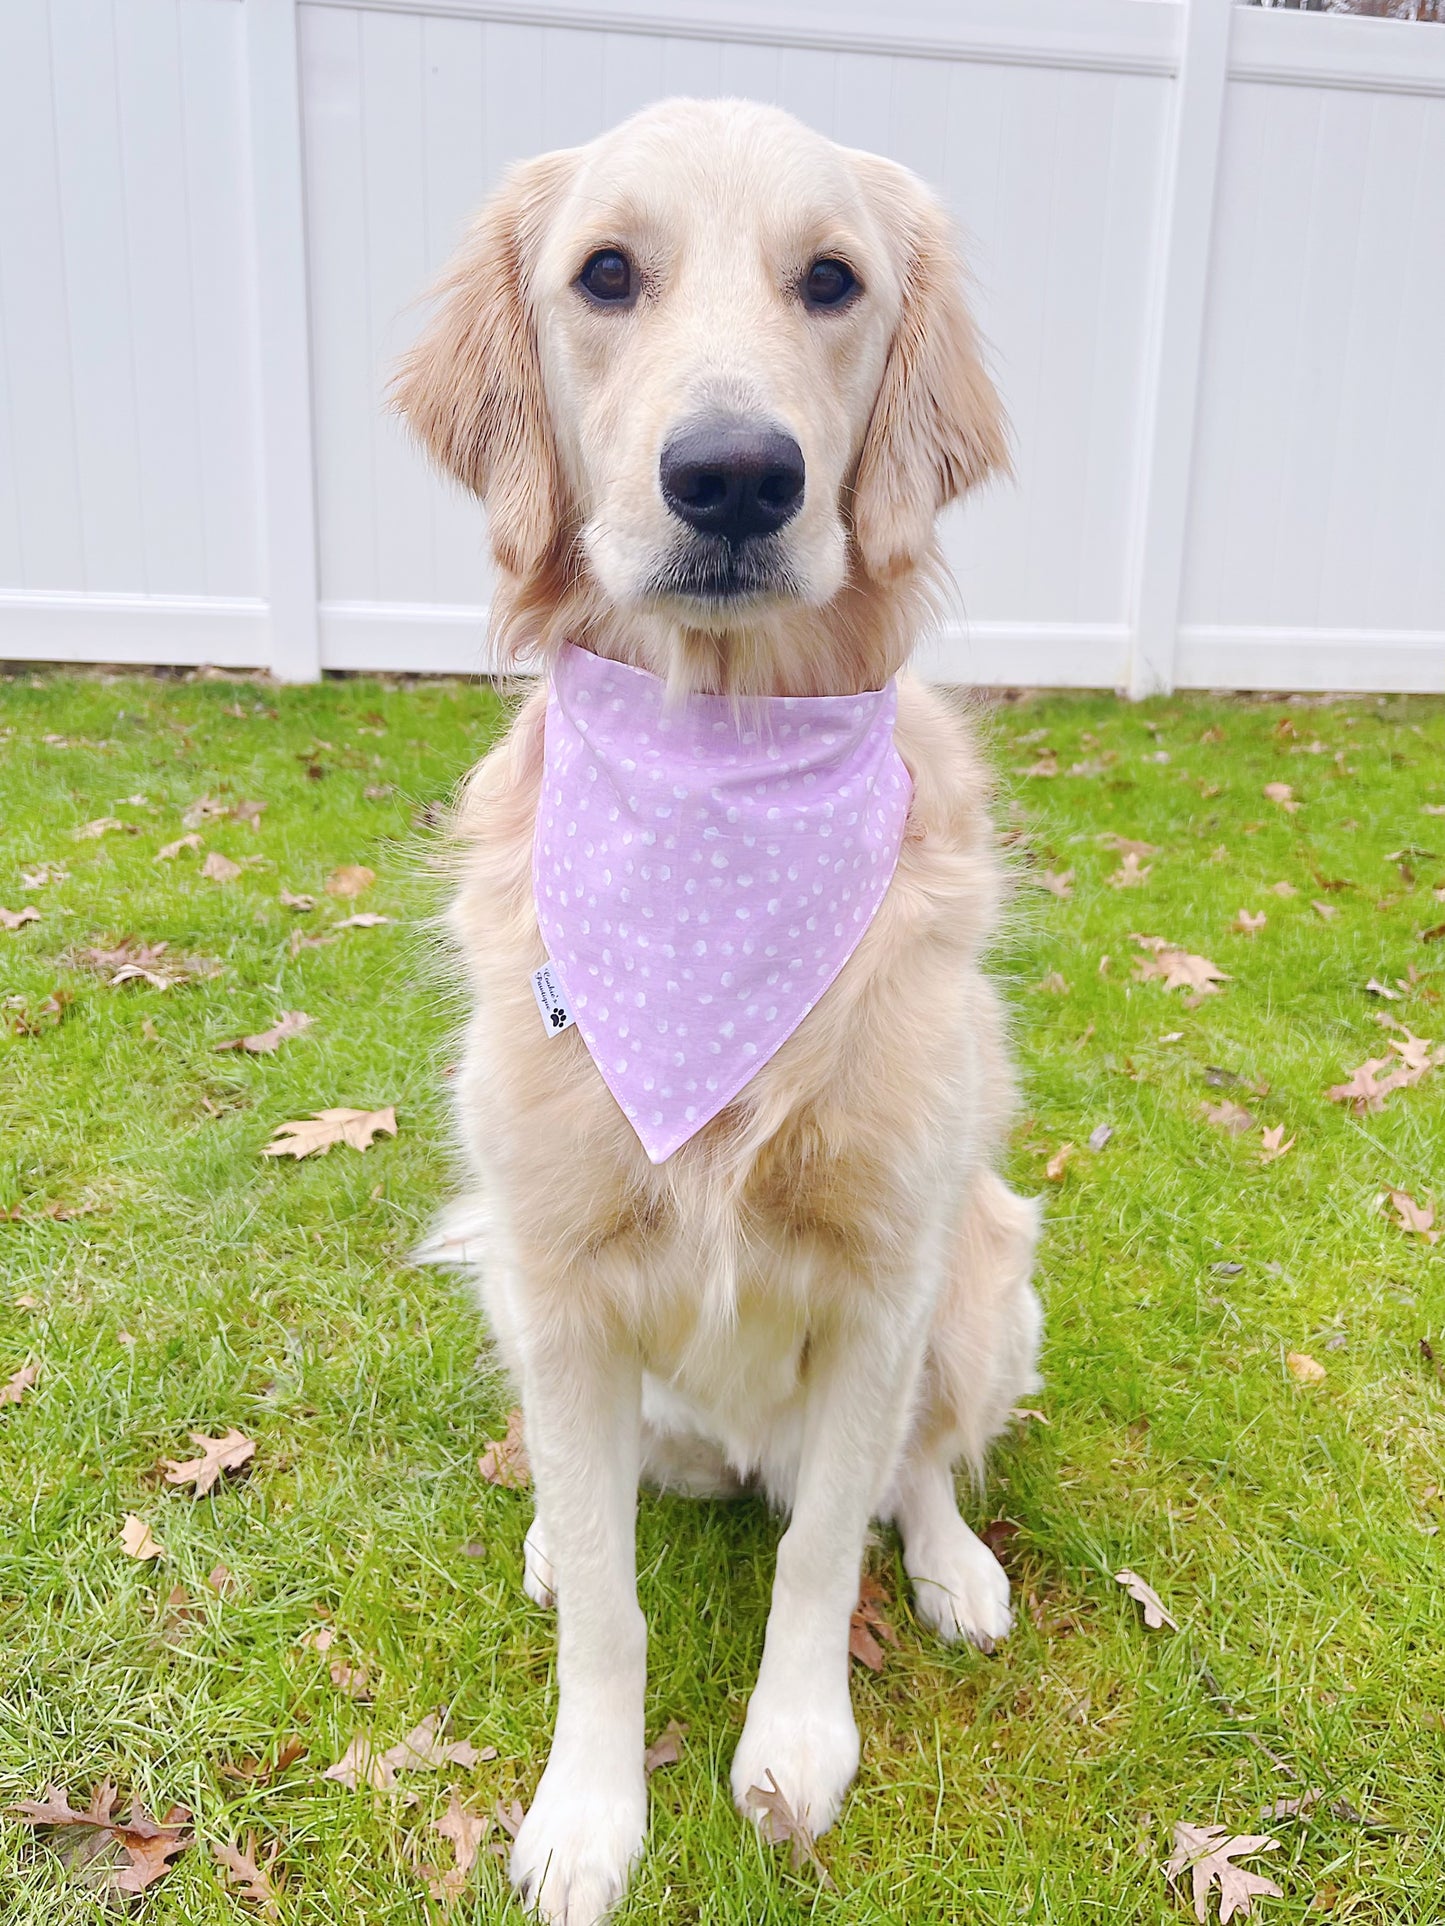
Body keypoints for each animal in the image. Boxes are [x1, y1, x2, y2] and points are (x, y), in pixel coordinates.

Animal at [402, 97, 1048, 1918]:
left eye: (831, 281)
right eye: (606, 274)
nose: (739, 477)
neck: (714, 768)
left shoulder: (888, 1272)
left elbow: (828, 1542)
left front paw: (797, 1749)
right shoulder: (558, 1274)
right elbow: (615, 1606)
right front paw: (587, 1812)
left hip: (989, 1273)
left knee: (921, 1464)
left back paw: (958, 1568)